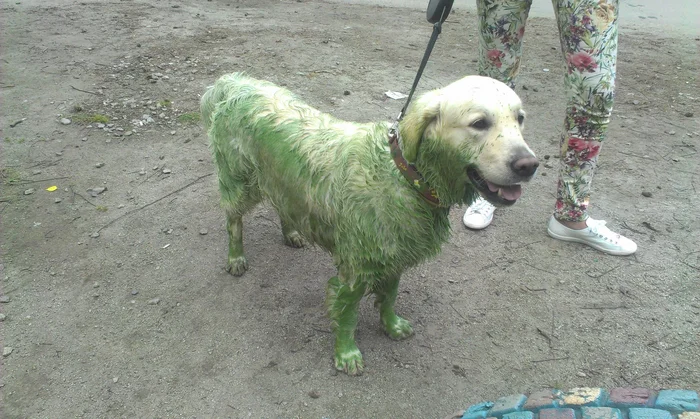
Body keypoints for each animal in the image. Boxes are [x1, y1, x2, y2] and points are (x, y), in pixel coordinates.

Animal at [200, 70, 540, 376]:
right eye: (479, 123)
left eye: (520, 118)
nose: (529, 165)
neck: (406, 176)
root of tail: (235, 82)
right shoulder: (356, 268)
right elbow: (348, 314)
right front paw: (346, 353)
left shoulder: (393, 255)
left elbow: (389, 296)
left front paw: (391, 325)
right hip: (239, 180)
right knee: (233, 221)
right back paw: (236, 257)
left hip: (283, 181)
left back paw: (292, 233)